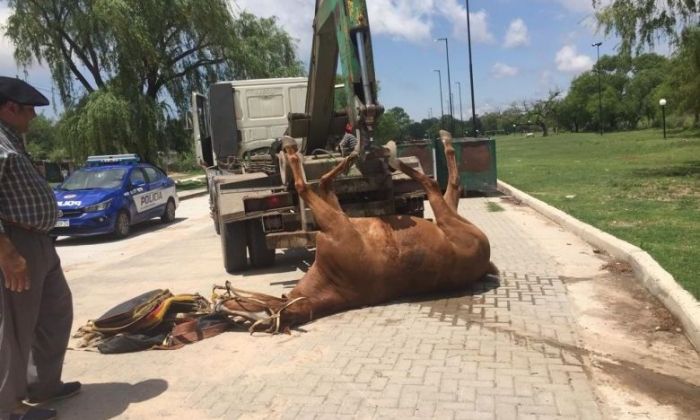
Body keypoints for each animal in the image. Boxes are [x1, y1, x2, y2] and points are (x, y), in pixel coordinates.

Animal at [216, 130, 494, 334]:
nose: (222, 303)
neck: (333, 279)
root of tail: (486, 258)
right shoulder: (336, 217)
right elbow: (322, 183)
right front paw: (348, 156)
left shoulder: (336, 221)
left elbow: (307, 185)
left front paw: (302, 150)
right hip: (447, 217)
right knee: (447, 187)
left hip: (446, 216)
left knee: (437, 183)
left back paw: (407, 153)